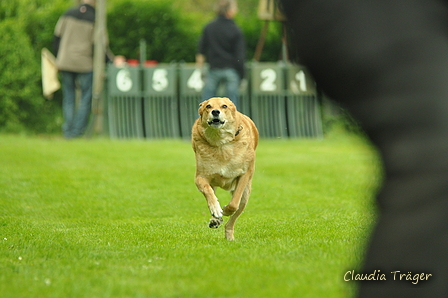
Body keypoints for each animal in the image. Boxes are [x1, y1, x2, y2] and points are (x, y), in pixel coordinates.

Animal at [192, 96, 260, 241]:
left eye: (224, 106)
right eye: (208, 106)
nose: (215, 112)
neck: (221, 143)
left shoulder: (244, 174)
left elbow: (234, 203)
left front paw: (226, 210)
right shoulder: (200, 177)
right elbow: (208, 192)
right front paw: (216, 210)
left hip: (246, 194)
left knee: (232, 219)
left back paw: (229, 235)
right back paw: (215, 219)